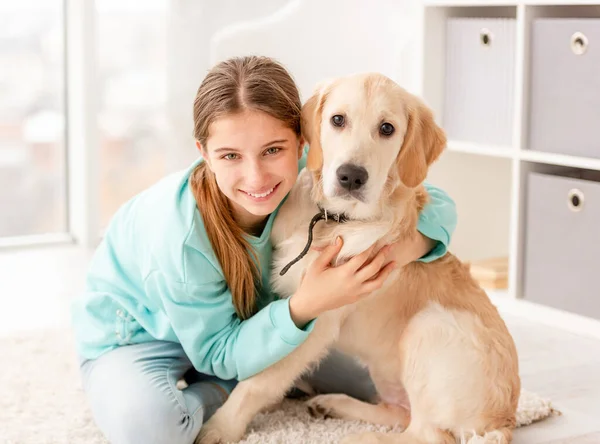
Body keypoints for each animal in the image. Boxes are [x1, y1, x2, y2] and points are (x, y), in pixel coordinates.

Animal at [198, 73, 520, 444]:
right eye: (338, 120)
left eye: (387, 128)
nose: (351, 176)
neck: (335, 220)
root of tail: (505, 421)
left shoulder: (316, 319)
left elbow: (258, 382)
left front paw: (219, 427)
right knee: (399, 412)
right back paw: (334, 404)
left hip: (428, 325)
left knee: (429, 435)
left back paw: (357, 436)